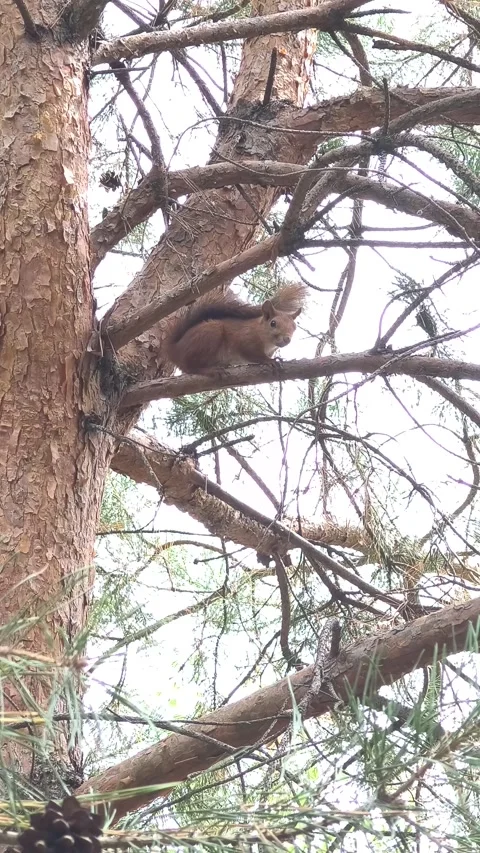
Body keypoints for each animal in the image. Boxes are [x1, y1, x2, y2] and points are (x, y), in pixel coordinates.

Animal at [166, 283, 307, 374]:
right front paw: (270, 361)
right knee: (189, 367)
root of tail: (174, 349)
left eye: (294, 327)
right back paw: (210, 370)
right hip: (210, 334)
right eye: (273, 323)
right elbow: (254, 355)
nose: (287, 339)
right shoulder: (245, 340)